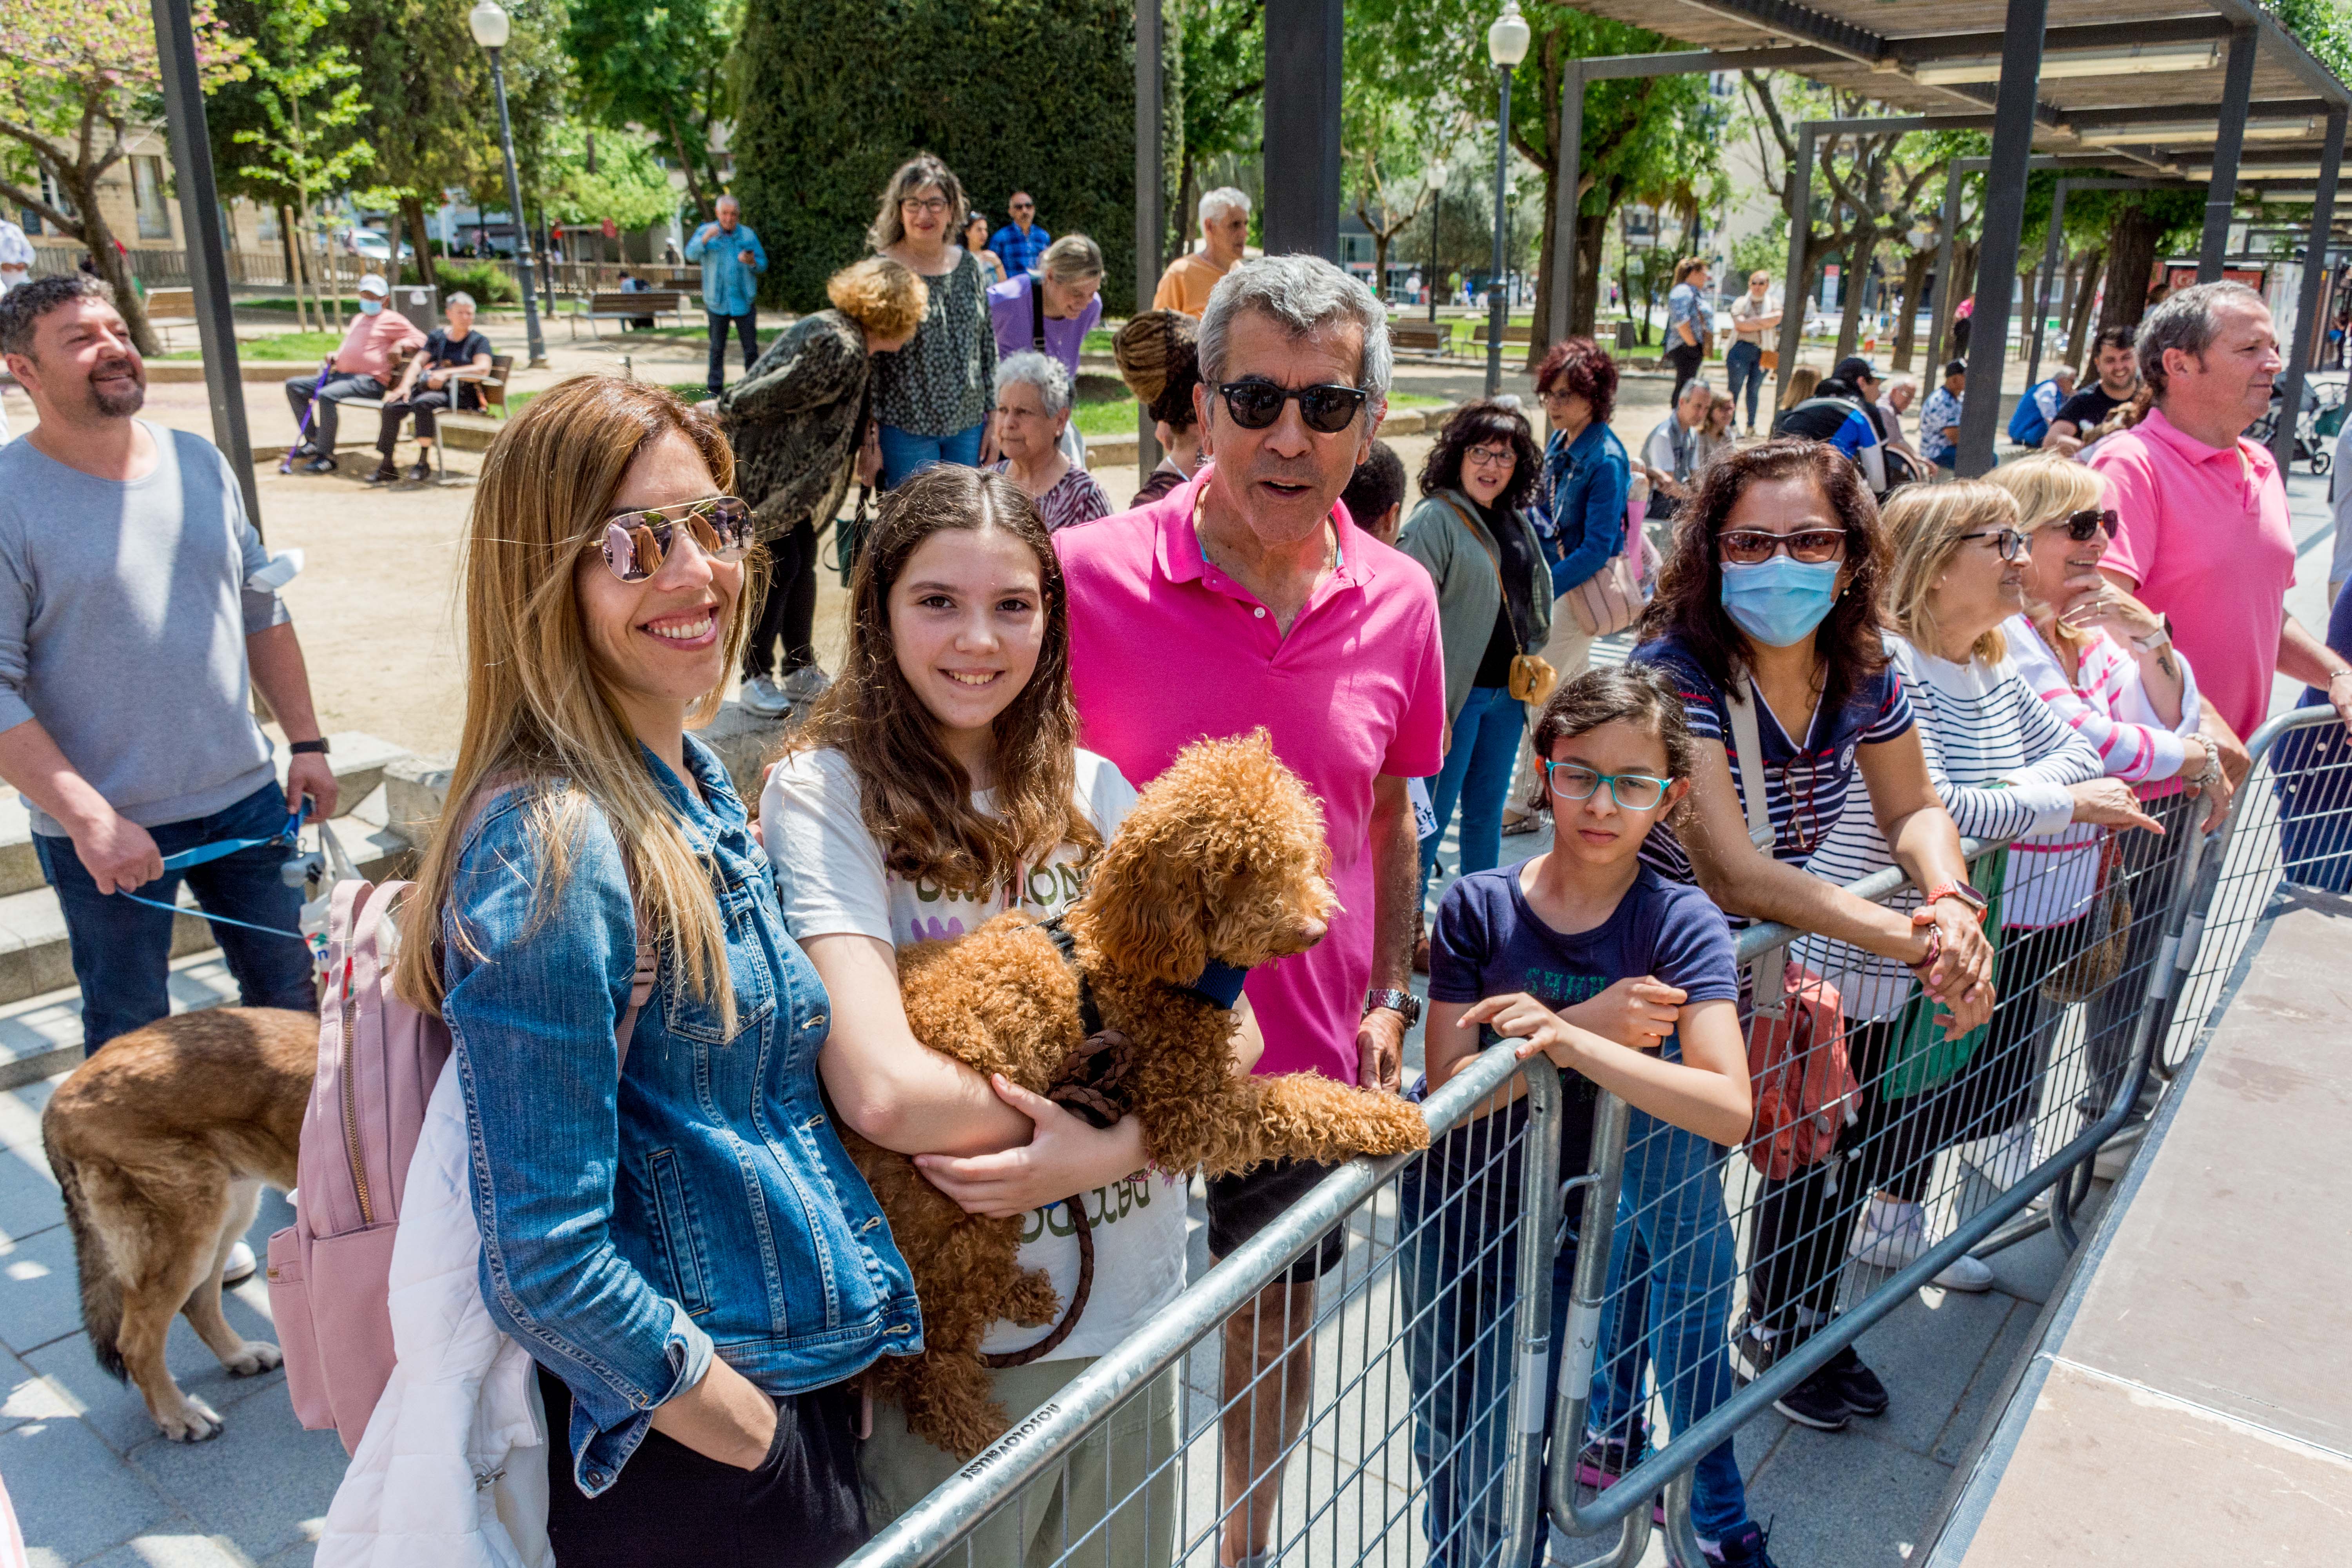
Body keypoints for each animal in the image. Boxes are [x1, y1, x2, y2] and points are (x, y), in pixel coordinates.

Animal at [42, 1011, 315, 1439]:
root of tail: (58, 1100)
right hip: (190, 1231)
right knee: (137, 1342)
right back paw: (179, 1415)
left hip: (228, 1214)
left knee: (199, 1301)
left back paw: (238, 1354)